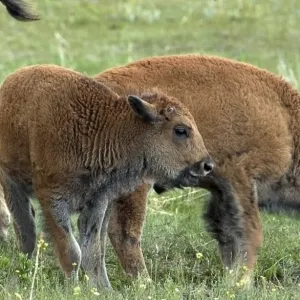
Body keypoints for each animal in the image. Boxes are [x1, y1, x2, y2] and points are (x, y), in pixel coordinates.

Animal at [0, 64, 213, 290]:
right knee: (26, 232)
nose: (207, 165)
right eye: (180, 130)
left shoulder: (97, 203)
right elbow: (71, 251)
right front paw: (73, 288)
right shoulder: (53, 200)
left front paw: (101, 290)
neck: (102, 129)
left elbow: (92, 252)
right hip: (11, 184)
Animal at [92, 55, 294, 282]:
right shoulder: (239, 179)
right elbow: (248, 233)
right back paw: (145, 282)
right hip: (136, 184)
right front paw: (240, 282)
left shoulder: (221, 192)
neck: (286, 121)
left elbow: (226, 235)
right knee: (124, 231)